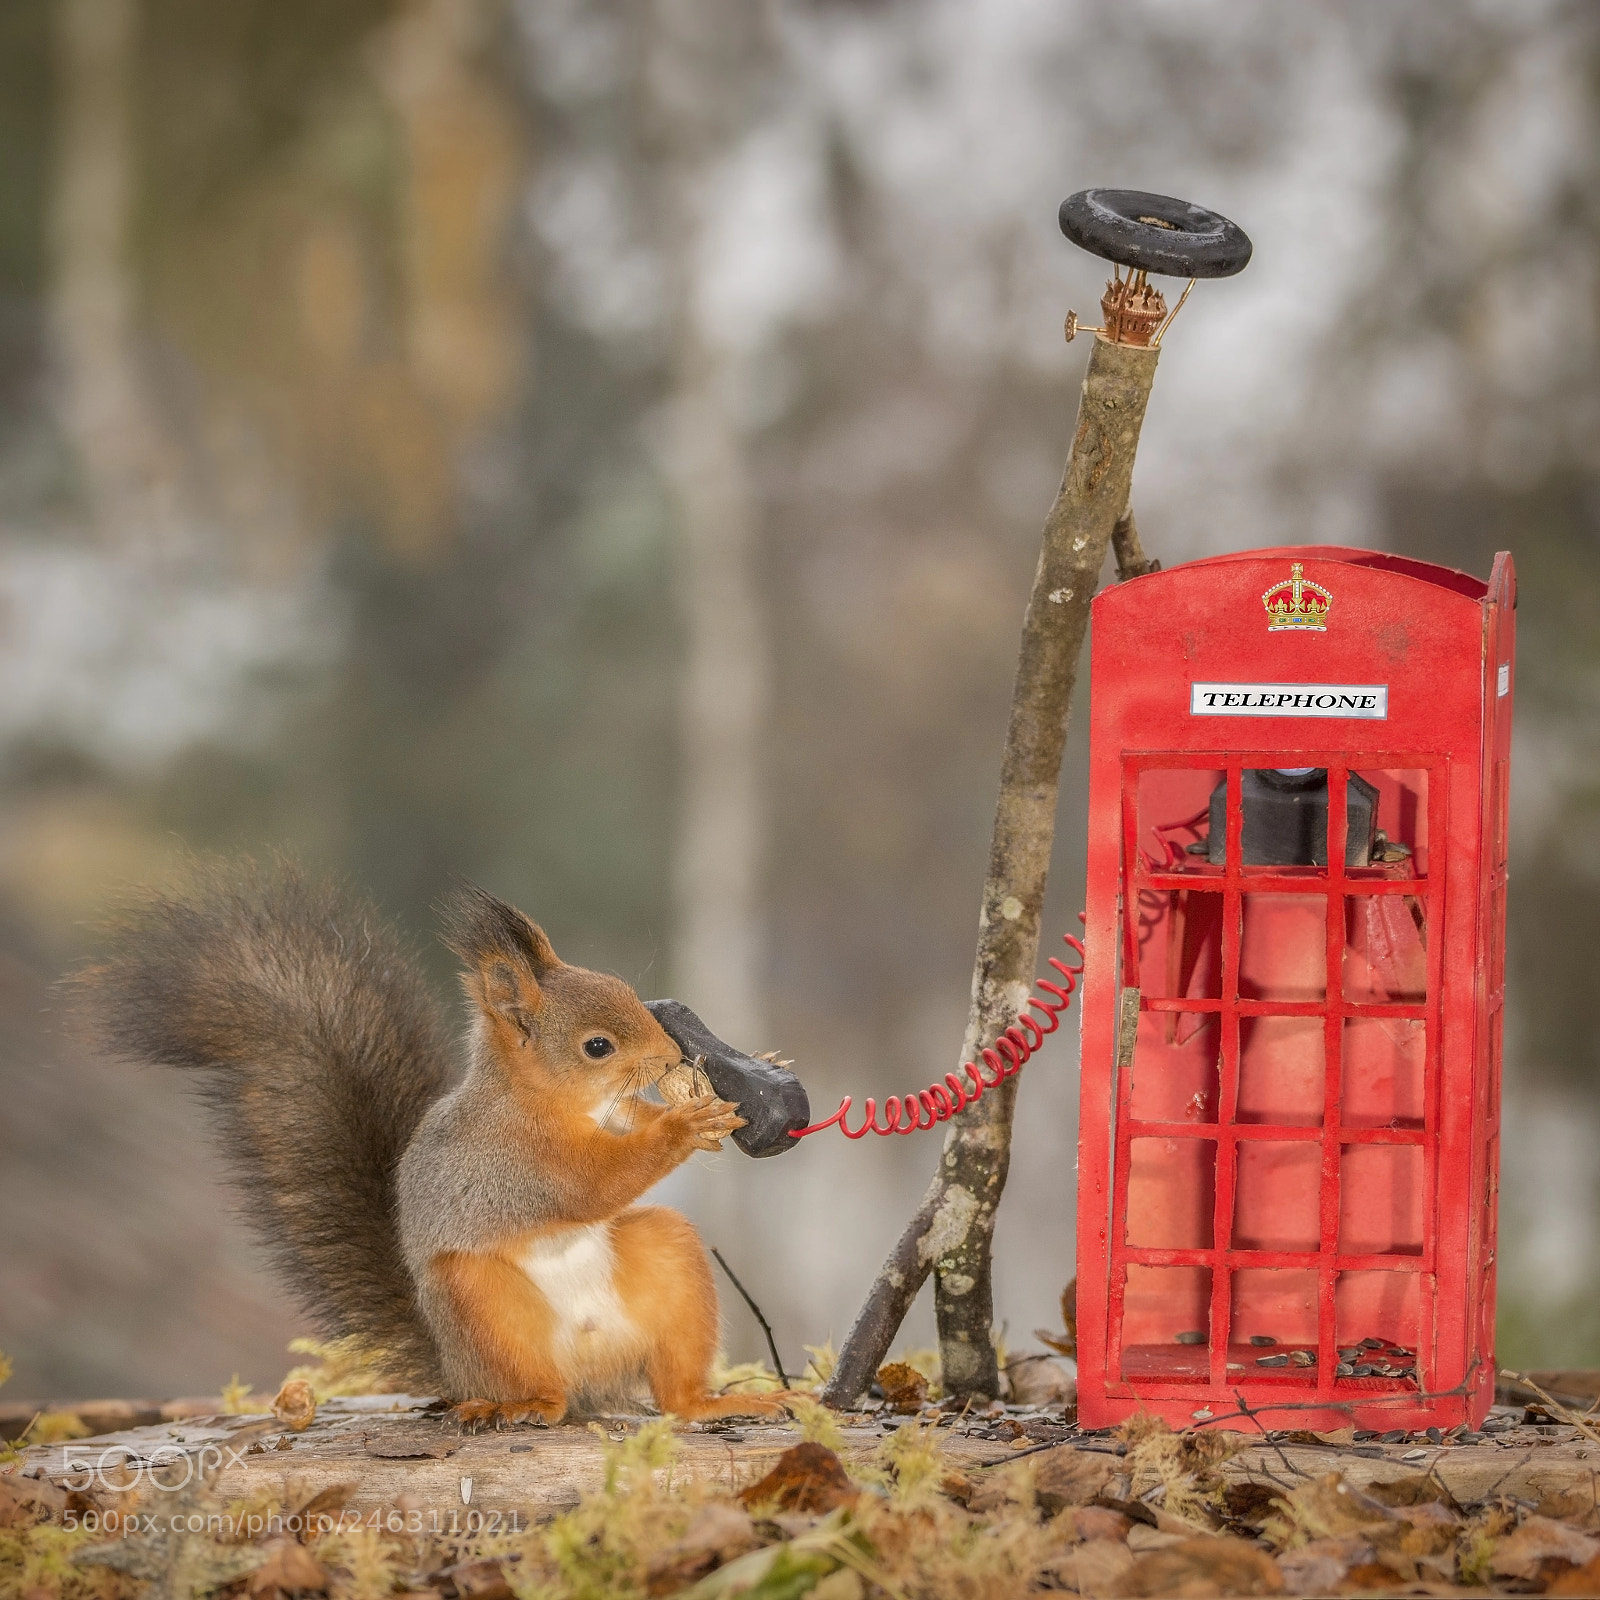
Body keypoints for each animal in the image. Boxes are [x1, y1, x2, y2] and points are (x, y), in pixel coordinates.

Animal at [76, 861, 789, 1425]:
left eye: (625, 991)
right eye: (597, 1046)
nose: (672, 1054)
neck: (545, 1101)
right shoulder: (516, 1161)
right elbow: (593, 1183)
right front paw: (685, 1124)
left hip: (666, 1259)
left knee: (674, 1396)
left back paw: (725, 1401)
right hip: (479, 1301)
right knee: (543, 1389)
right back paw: (520, 1406)